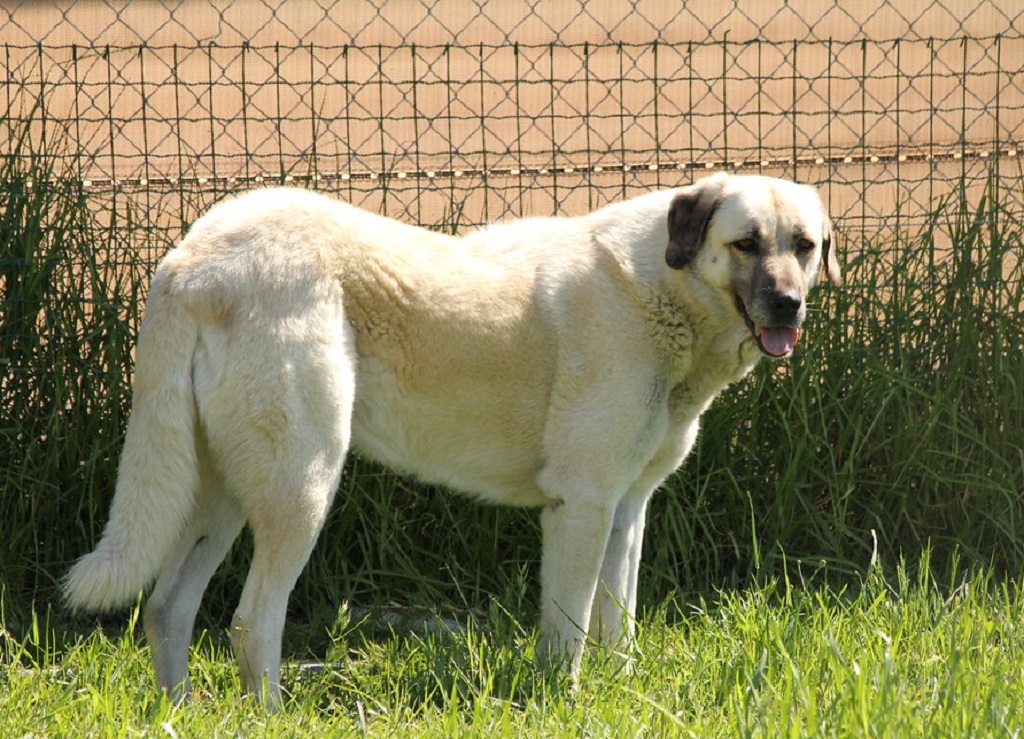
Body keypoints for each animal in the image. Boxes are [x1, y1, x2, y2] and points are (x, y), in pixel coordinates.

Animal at [64, 169, 839, 704]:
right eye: (745, 244)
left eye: (805, 247)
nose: (788, 304)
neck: (666, 290)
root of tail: (189, 256)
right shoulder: (580, 506)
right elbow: (568, 631)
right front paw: (567, 704)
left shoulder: (625, 510)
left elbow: (616, 625)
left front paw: (621, 696)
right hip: (302, 483)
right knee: (252, 622)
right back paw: (270, 715)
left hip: (224, 490)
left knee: (168, 608)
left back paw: (182, 713)